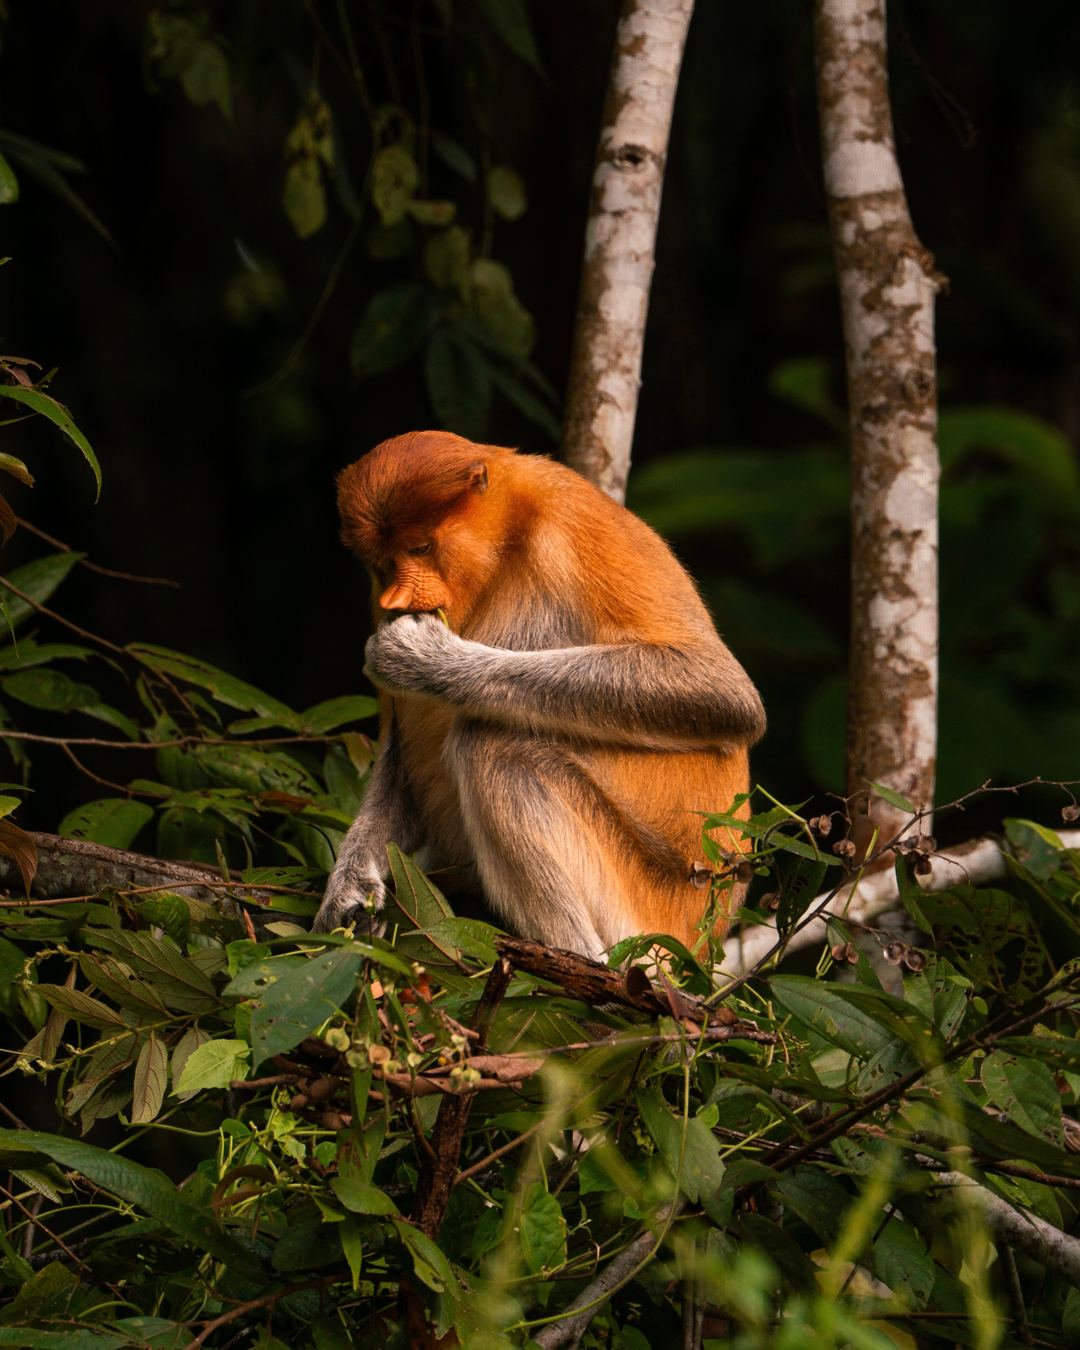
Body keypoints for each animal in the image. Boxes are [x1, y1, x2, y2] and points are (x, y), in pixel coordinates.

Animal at [311, 431, 765, 961]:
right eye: (381, 564)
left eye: (420, 546)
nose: (396, 602)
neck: (509, 534)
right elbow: (398, 762)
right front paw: (348, 893)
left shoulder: (573, 525)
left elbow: (722, 692)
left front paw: (422, 658)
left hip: (653, 910)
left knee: (496, 746)